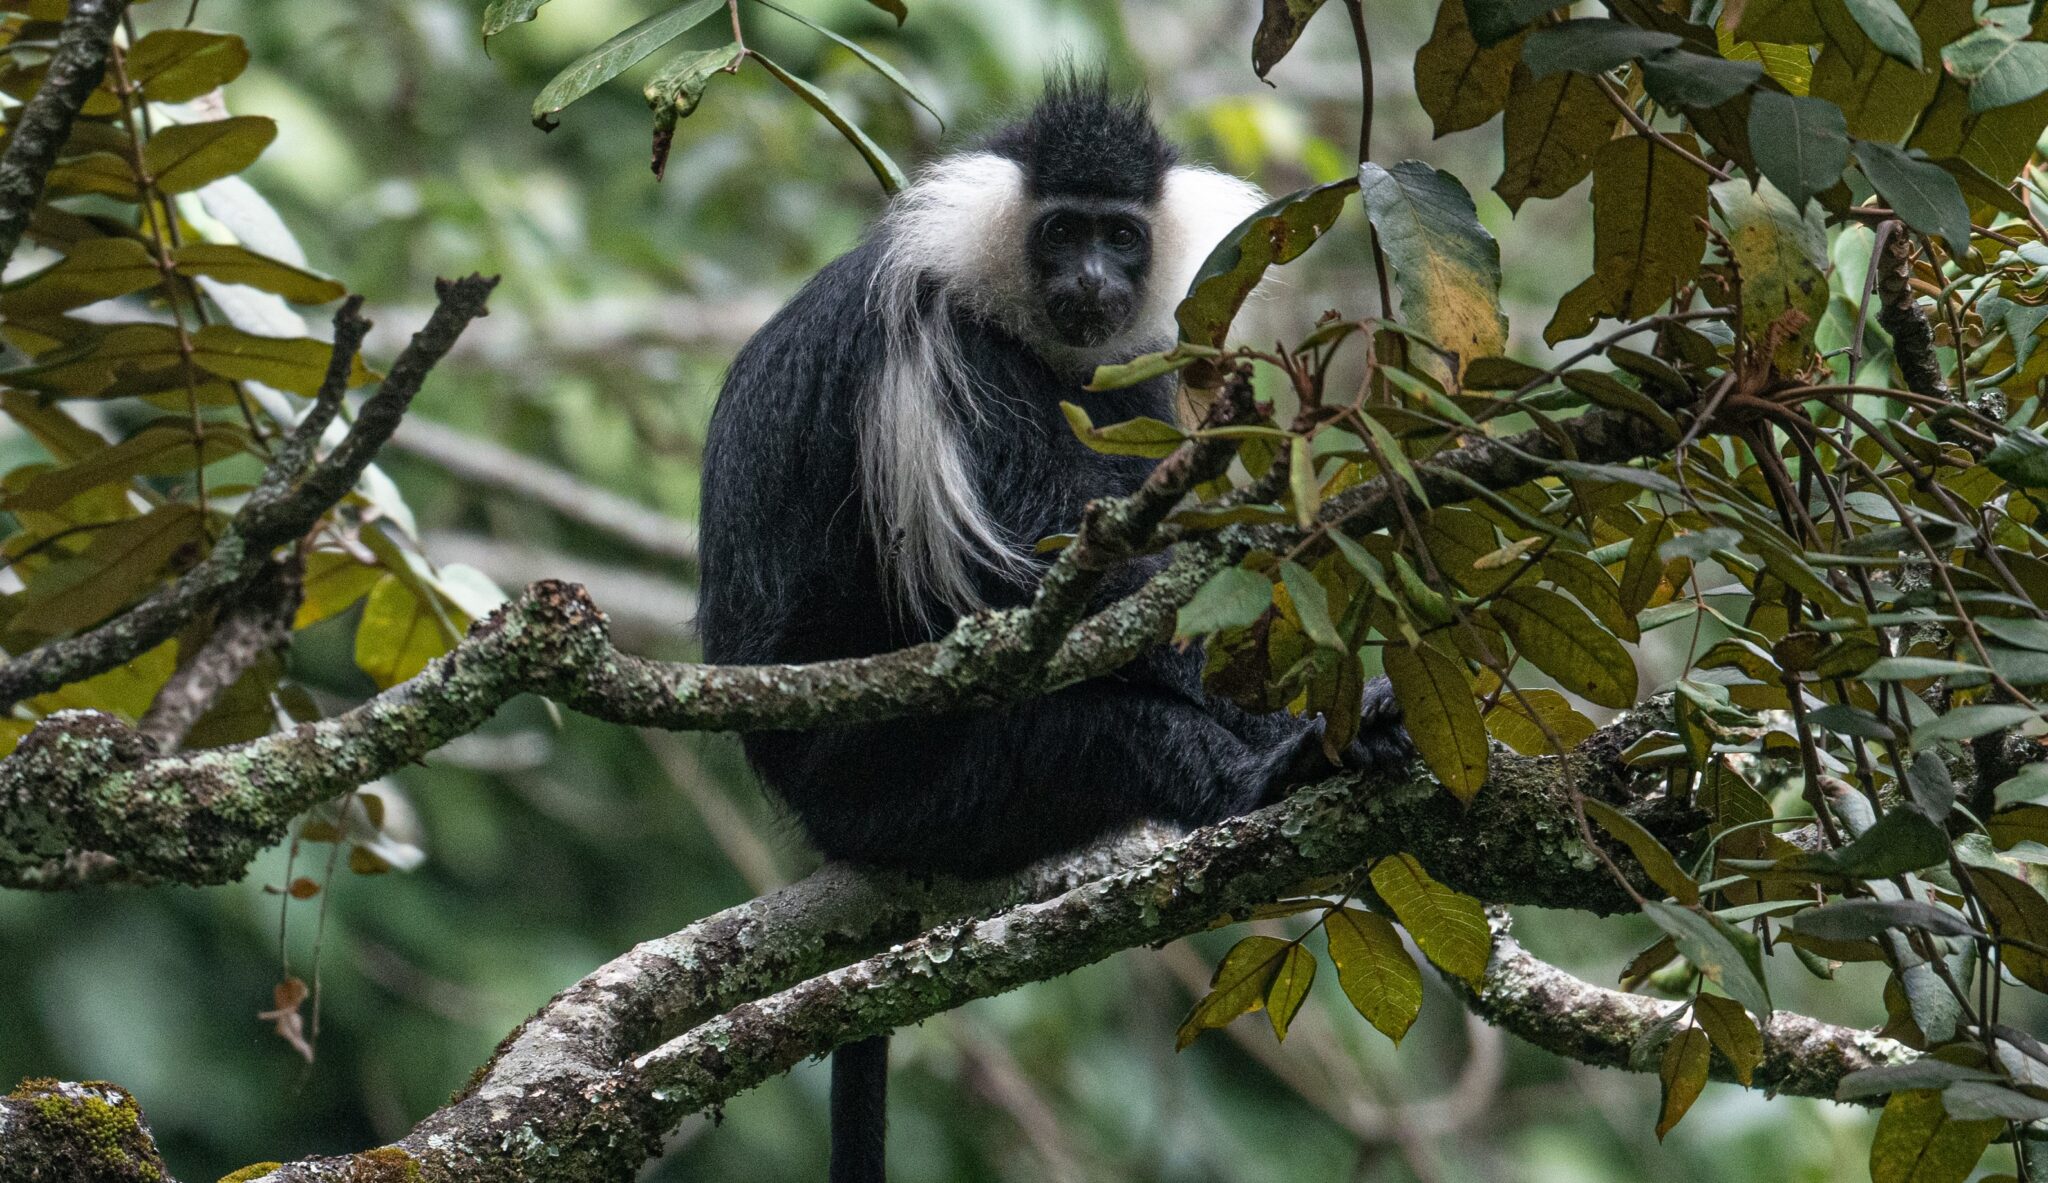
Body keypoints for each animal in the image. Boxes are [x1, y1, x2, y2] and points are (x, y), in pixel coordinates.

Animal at [700, 73, 1409, 1178]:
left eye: (1121, 236)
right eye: (1062, 231)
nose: (1090, 278)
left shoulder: (1133, 374)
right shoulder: (944, 355)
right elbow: (1040, 582)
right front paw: (1310, 723)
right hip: (904, 784)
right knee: (1102, 732)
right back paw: (1274, 774)